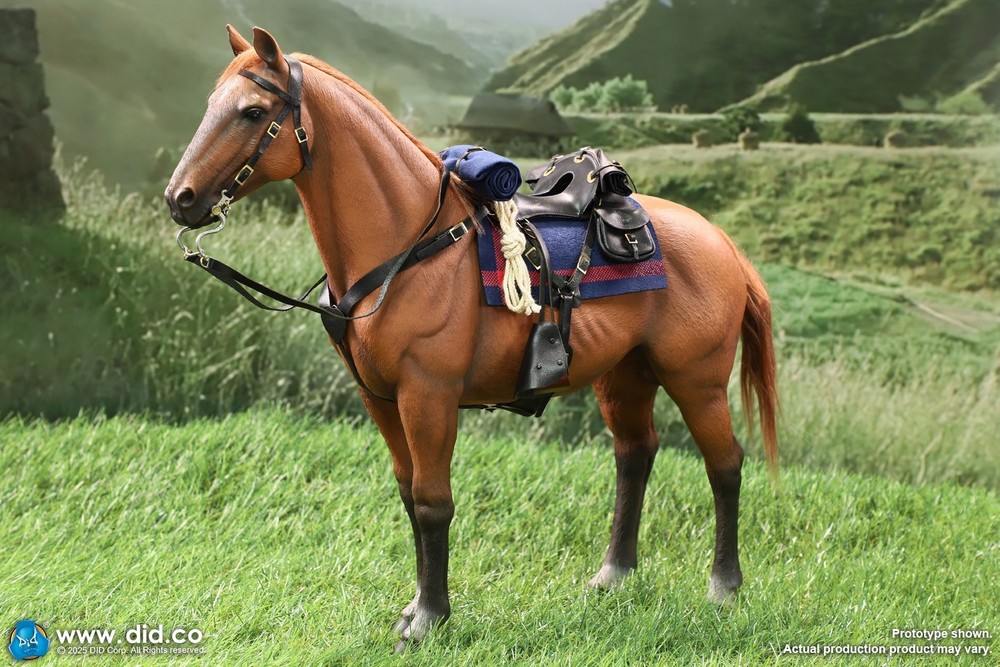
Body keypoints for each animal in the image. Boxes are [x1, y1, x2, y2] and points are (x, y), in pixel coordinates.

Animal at [165, 25, 779, 651]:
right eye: (213, 104)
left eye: (253, 111)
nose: (180, 198)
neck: (411, 245)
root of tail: (721, 241)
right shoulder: (380, 398)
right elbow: (410, 495)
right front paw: (415, 608)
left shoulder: (428, 396)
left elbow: (434, 503)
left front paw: (430, 619)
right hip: (624, 376)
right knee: (635, 455)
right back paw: (613, 576)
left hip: (696, 379)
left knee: (725, 464)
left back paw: (724, 587)